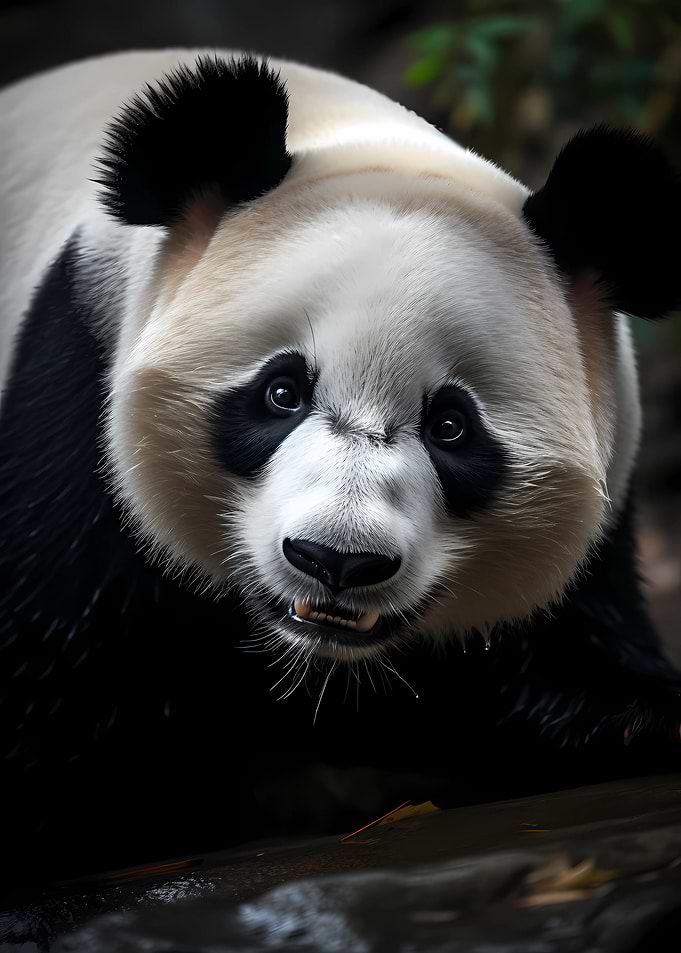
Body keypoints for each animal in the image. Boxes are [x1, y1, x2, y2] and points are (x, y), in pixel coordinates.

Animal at [1, 50, 681, 883]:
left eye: (450, 426)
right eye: (281, 391)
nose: (336, 560)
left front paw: (635, 721)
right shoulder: (72, 399)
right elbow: (61, 688)